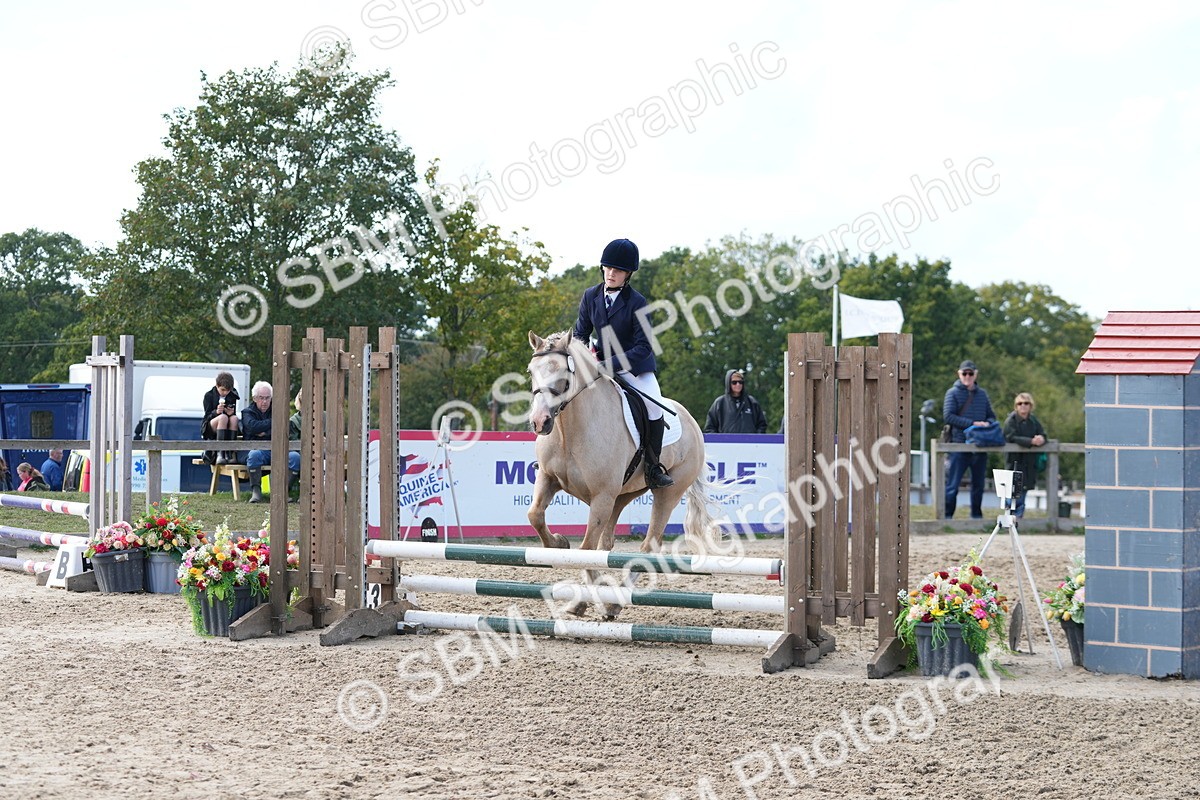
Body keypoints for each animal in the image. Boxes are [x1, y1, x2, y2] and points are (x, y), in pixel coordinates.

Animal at [526, 330, 720, 618]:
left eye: (563, 373)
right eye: (531, 371)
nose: (540, 422)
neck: (568, 430)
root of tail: (693, 423)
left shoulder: (601, 497)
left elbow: (586, 550)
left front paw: (591, 599)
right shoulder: (548, 479)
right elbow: (536, 515)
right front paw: (559, 543)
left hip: (666, 493)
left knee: (648, 545)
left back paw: (615, 602)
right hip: (622, 495)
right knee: (606, 544)